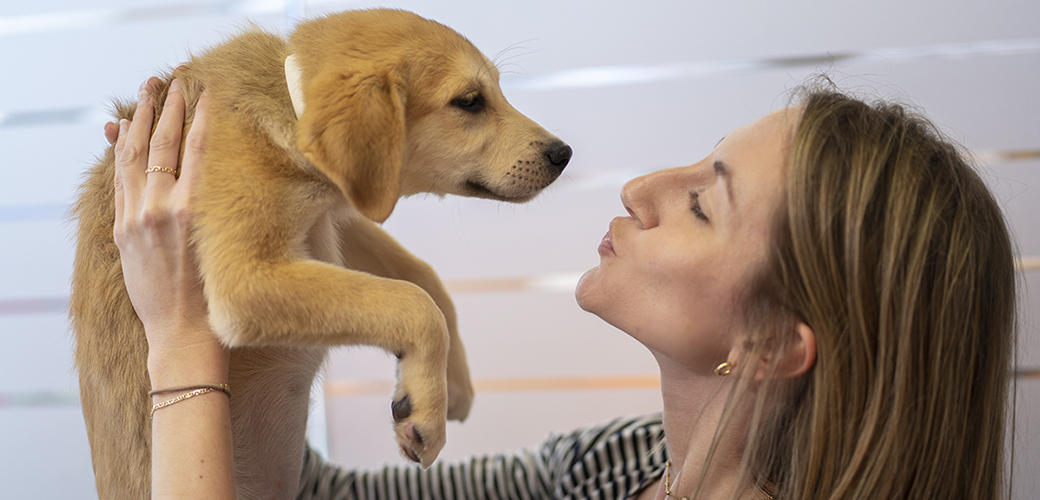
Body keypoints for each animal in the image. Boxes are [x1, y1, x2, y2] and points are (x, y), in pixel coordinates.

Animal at [69, 8, 574, 498]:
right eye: (469, 101)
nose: (563, 154)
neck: (287, 106)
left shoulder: (331, 218)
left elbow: (423, 277)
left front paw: (456, 384)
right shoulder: (246, 279)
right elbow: (415, 303)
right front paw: (428, 410)